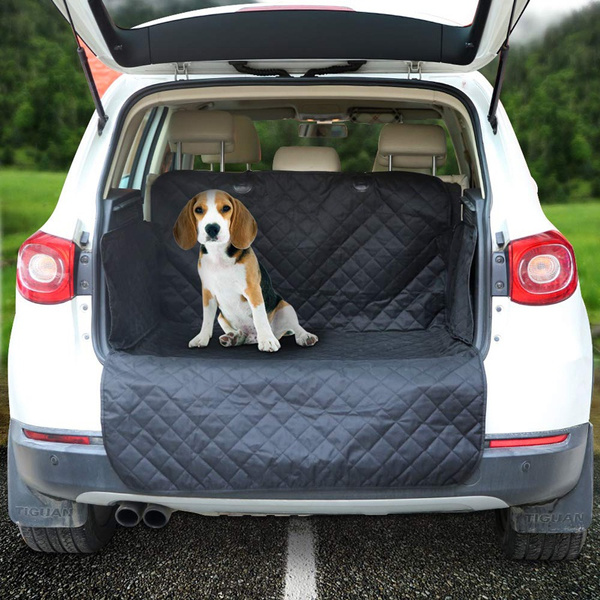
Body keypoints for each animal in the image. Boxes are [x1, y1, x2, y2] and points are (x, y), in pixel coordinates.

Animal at [172, 190, 318, 352]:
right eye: (198, 210)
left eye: (226, 208)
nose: (212, 228)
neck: (219, 255)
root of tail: (253, 336)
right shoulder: (207, 292)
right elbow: (207, 319)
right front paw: (202, 337)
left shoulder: (253, 289)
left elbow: (259, 316)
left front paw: (267, 341)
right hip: (221, 317)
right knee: (239, 332)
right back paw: (234, 338)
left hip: (286, 307)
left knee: (296, 327)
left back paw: (303, 336)